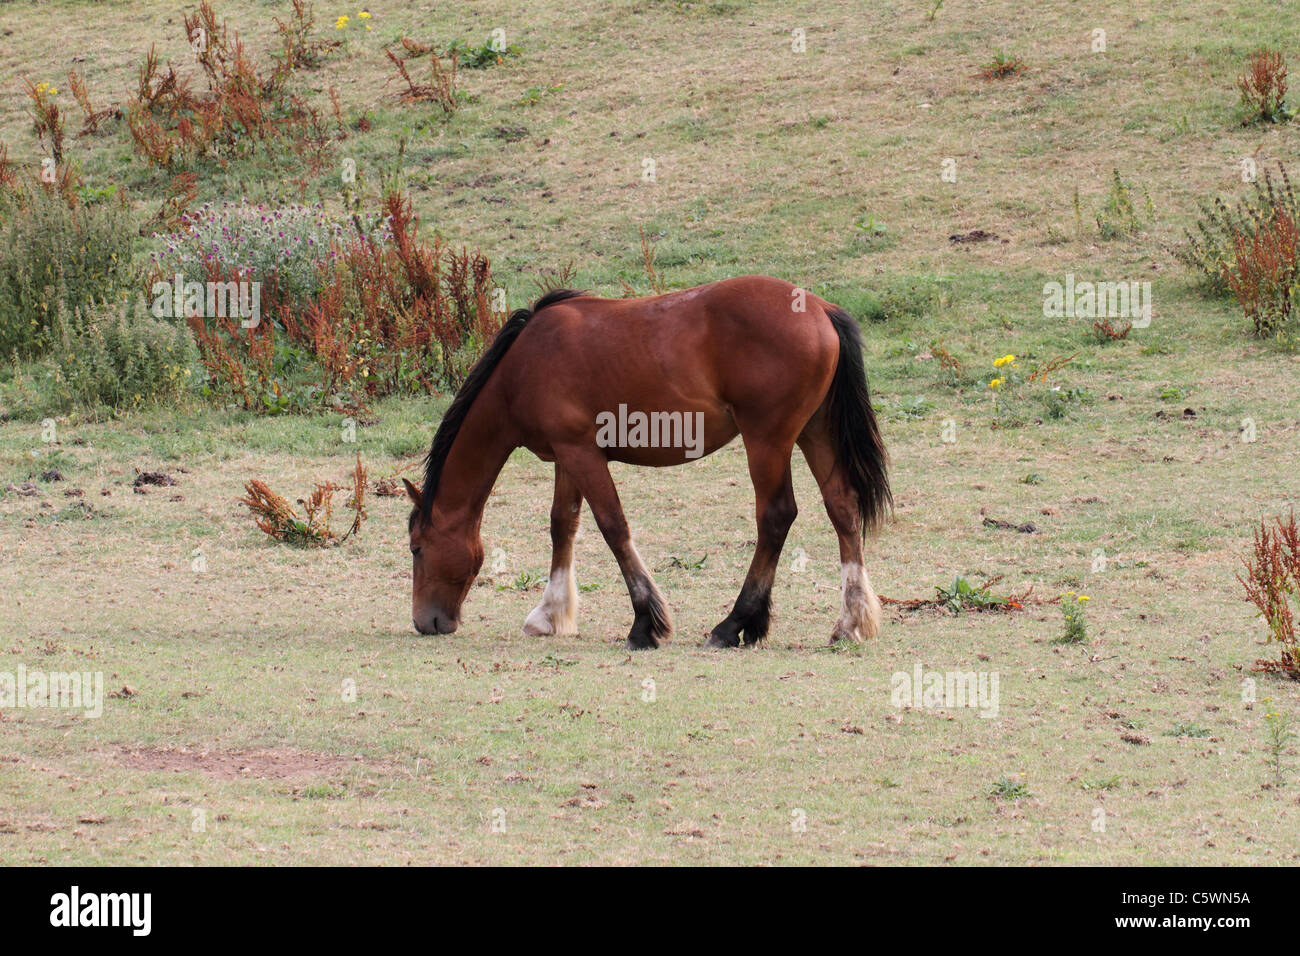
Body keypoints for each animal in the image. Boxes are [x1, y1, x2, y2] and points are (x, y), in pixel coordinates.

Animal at [405, 277, 894, 650]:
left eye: (416, 547)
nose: (425, 622)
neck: (524, 364)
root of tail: (820, 308)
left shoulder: (582, 453)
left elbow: (613, 528)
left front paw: (645, 623)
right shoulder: (567, 455)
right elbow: (563, 525)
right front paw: (551, 613)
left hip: (768, 441)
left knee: (776, 518)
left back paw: (733, 624)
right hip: (815, 432)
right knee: (842, 509)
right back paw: (850, 621)